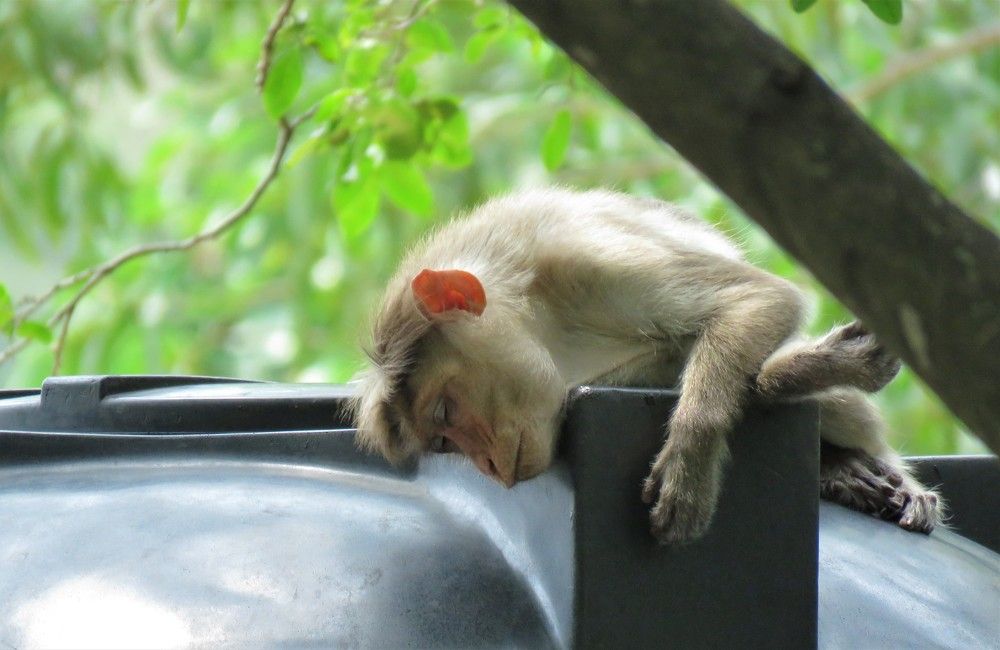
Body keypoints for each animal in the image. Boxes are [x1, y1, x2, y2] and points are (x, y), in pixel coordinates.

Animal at [350, 188, 943, 544]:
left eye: (446, 412)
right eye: (443, 441)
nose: (490, 468)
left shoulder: (587, 263)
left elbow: (761, 300)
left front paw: (690, 461)